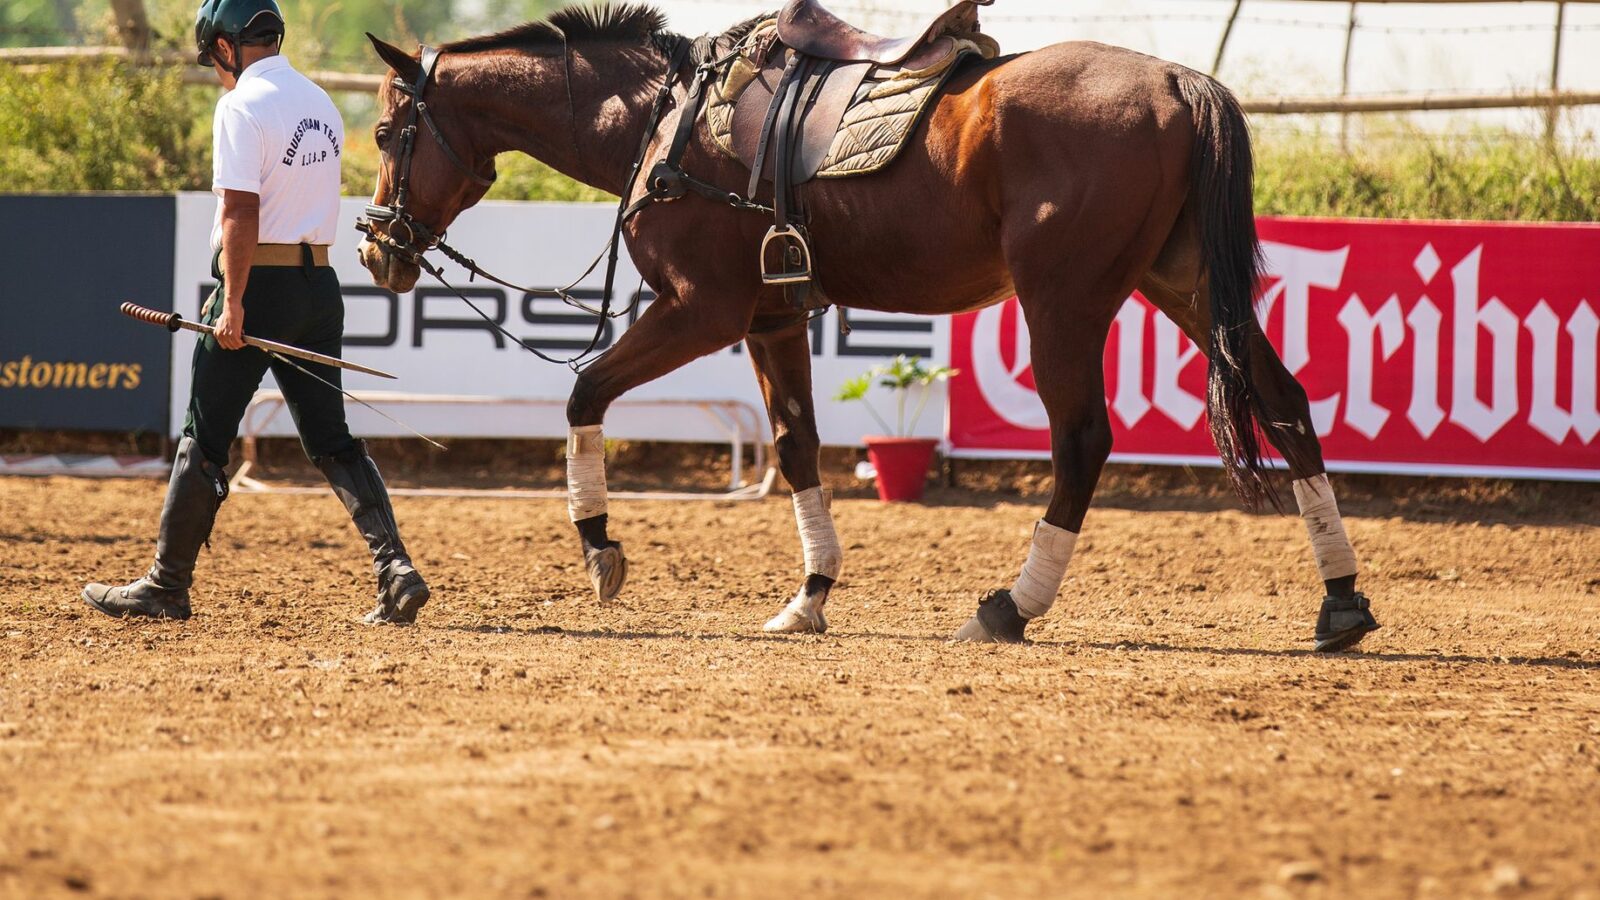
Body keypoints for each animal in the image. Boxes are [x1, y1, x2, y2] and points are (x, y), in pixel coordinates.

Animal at [357, 3, 1382, 651]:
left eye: (383, 134)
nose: (377, 251)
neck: (664, 119)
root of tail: (1175, 80)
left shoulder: (700, 310)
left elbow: (584, 392)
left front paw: (600, 547)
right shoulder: (772, 319)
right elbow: (797, 445)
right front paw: (809, 596)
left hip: (1065, 300)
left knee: (1083, 440)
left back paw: (1010, 607)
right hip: (1186, 287)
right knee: (1286, 403)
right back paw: (1341, 602)